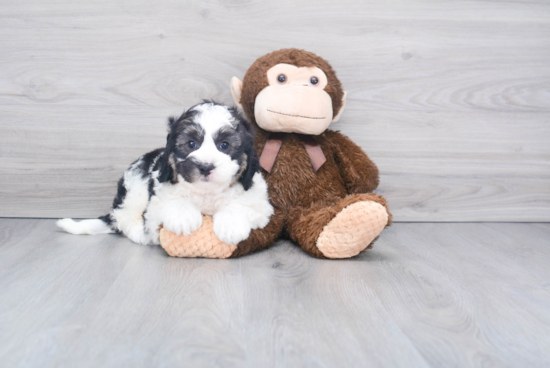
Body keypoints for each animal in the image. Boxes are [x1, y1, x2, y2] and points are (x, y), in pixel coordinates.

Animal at [57, 100, 274, 247]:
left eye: (225, 145)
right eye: (191, 144)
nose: (205, 166)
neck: (206, 193)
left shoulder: (259, 202)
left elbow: (240, 205)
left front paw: (230, 226)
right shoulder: (157, 195)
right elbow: (172, 201)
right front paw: (184, 218)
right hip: (135, 187)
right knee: (125, 218)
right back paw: (140, 233)